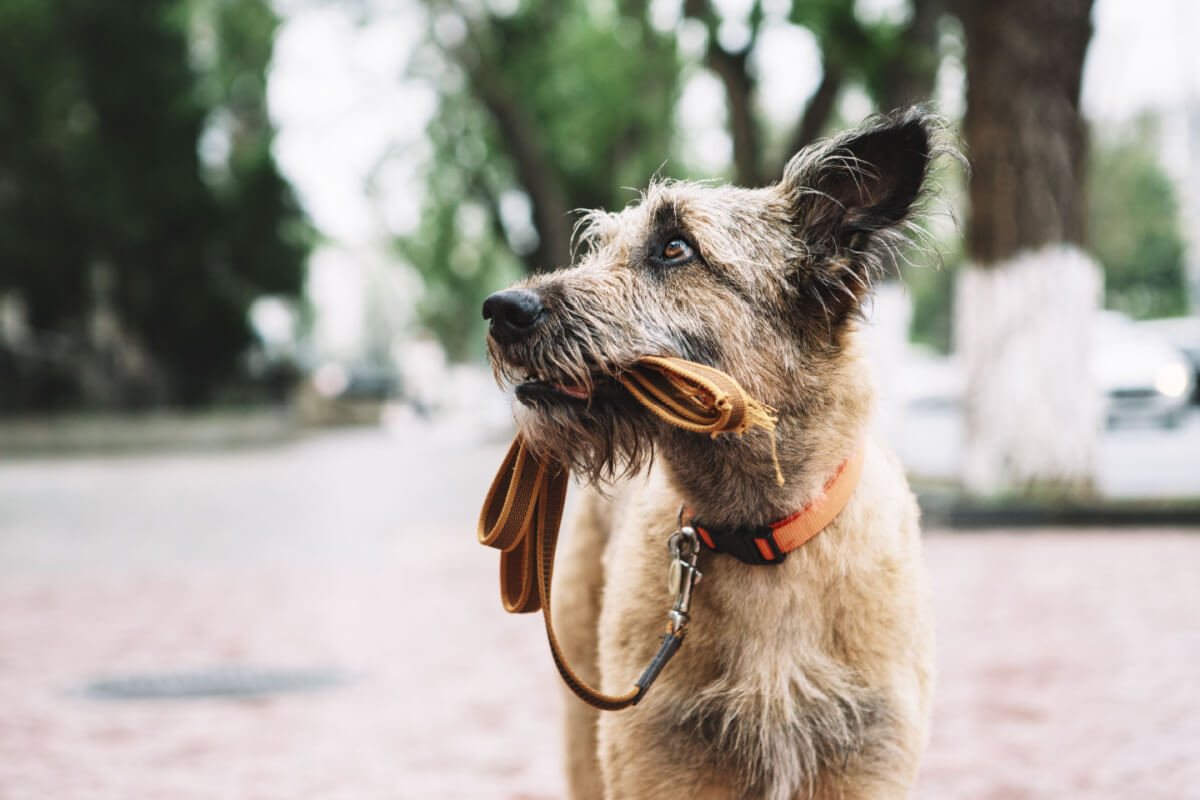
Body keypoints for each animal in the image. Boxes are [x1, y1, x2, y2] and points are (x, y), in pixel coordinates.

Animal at [482, 107, 950, 800]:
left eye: (675, 248)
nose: (502, 309)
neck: (762, 535)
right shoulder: (664, 763)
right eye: (600, 246)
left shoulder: (862, 762)